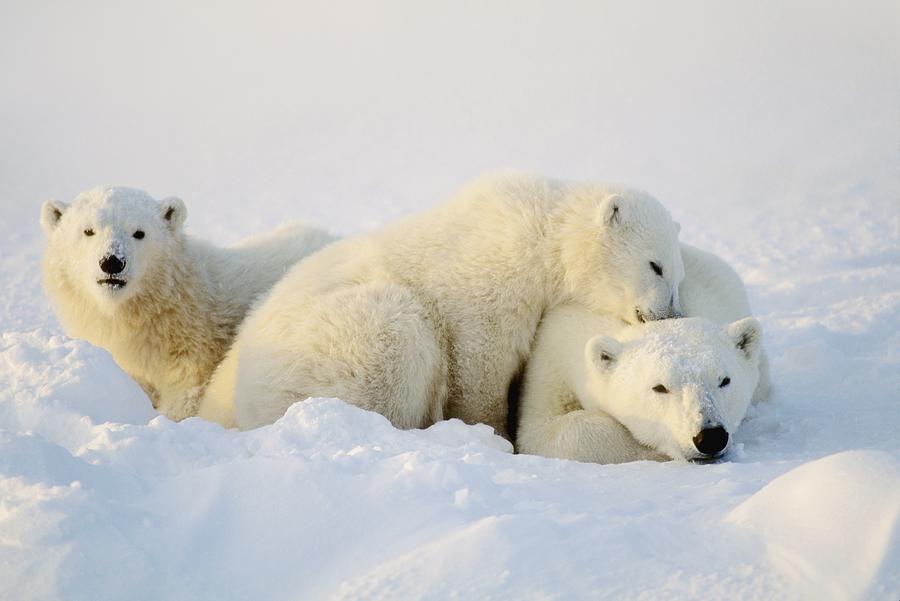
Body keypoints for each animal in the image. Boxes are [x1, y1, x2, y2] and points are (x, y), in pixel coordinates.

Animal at [200, 171, 684, 434]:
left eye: (678, 276)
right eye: (656, 265)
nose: (671, 313)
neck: (543, 234)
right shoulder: (489, 281)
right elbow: (478, 363)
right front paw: (491, 433)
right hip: (329, 347)